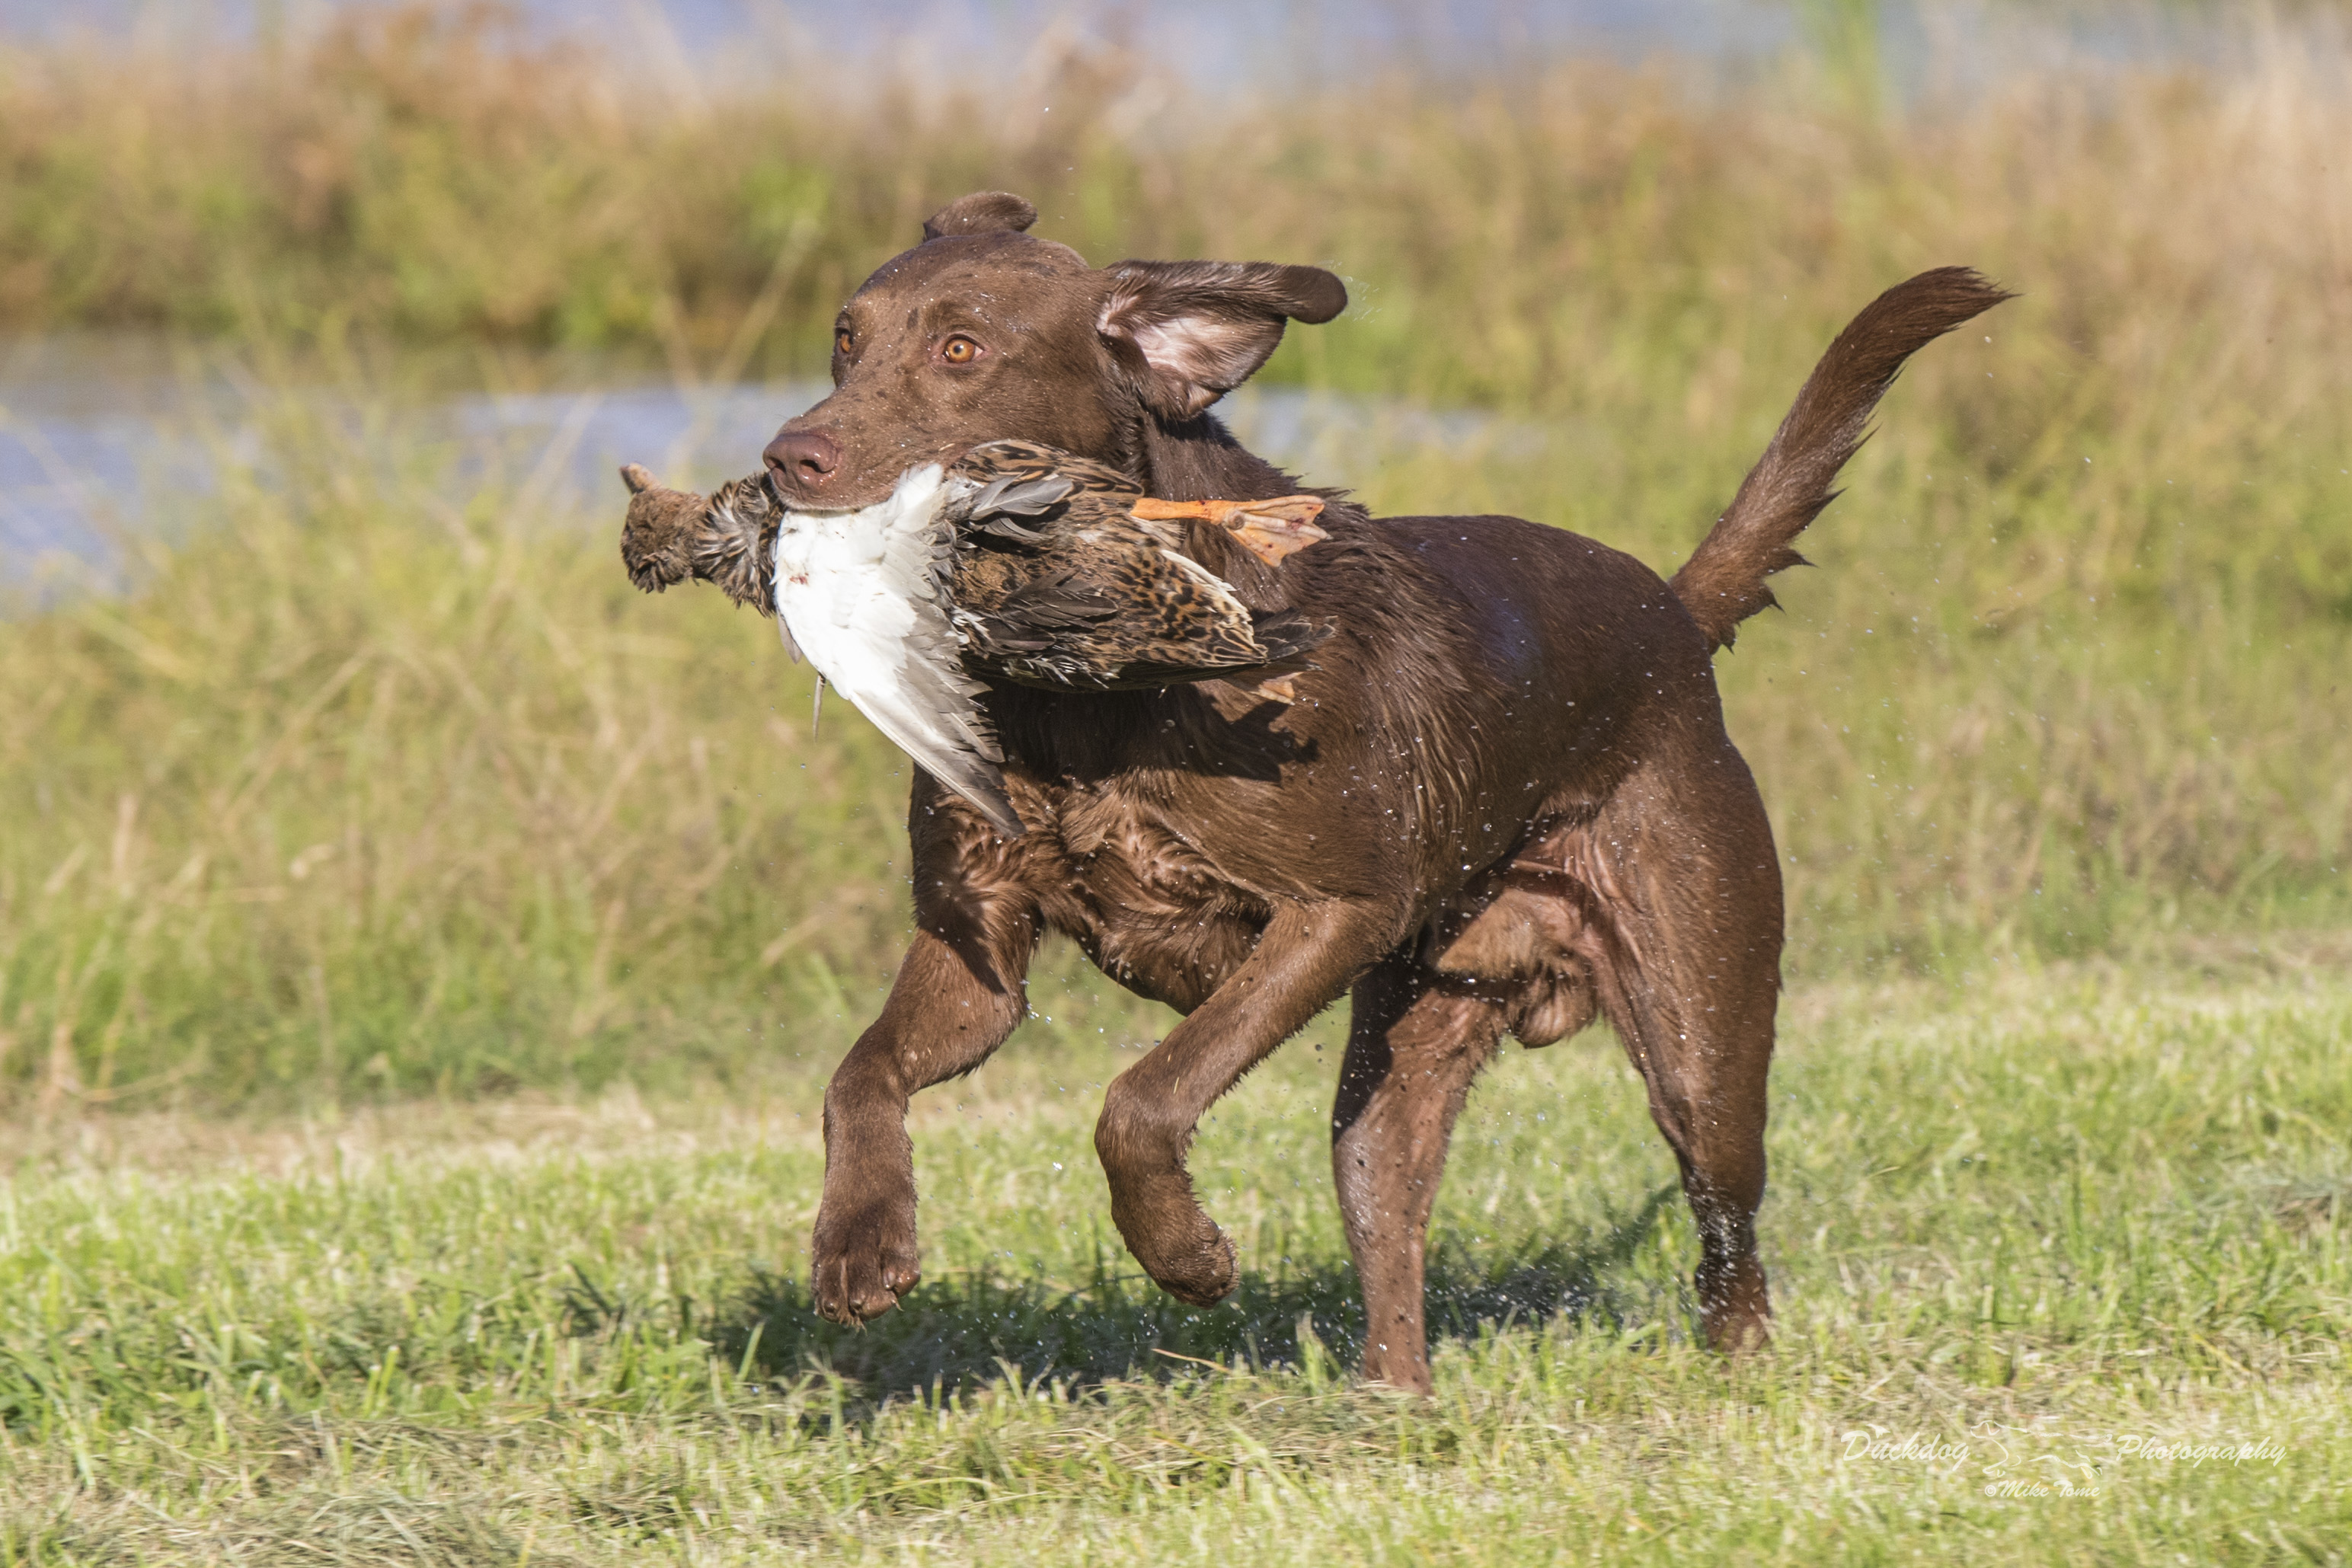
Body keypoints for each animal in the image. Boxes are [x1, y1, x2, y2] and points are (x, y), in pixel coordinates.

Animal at [621, 190, 2003, 1391]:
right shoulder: (977, 947)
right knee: (1385, 1199)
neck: (1079, 699)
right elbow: (858, 1072)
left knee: (1727, 1220)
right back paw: (1389, 1404)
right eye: (846, 338)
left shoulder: (1330, 912)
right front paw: (861, 1241)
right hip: (1402, 1063)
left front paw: (1185, 1255)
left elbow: (1141, 1098)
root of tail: (1668, 612)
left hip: (1700, 1022)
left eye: (962, 349)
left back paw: (1730, 1363)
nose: (787, 458)